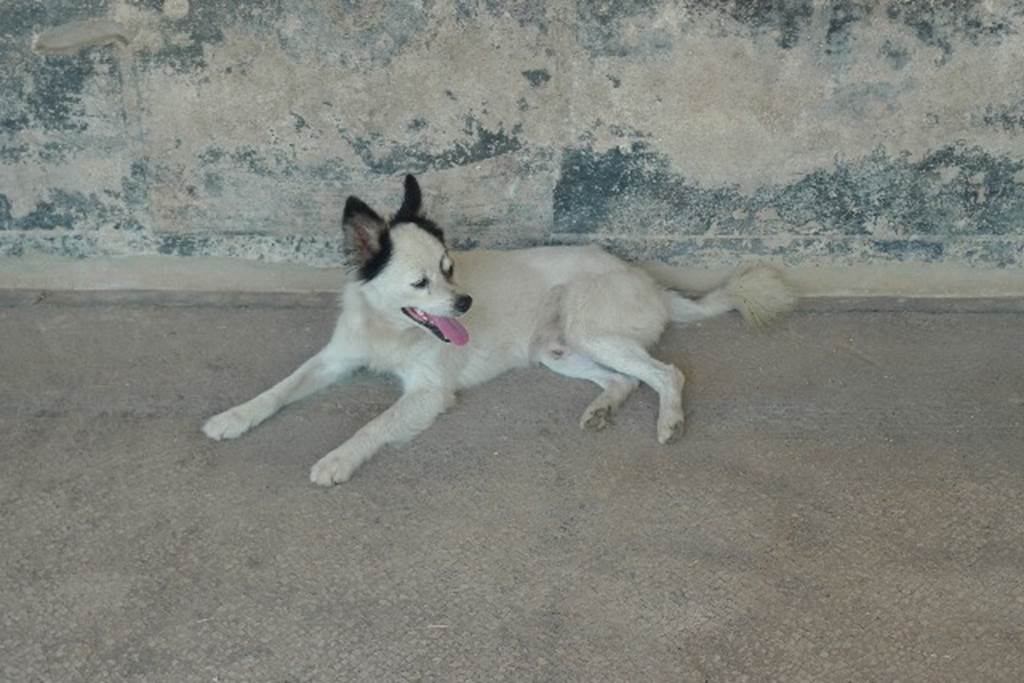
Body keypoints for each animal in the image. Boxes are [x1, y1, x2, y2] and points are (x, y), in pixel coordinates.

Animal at [203, 176, 794, 485]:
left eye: (449, 267)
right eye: (420, 281)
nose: (465, 302)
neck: (390, 329)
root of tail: (644, 278)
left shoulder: (428, 393)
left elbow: (373, 426)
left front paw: (337, 459)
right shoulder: (334, 359)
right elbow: (279, 389)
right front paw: (233, 417)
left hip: (590, 329)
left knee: (667, 373)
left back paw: (669, 421)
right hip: (560, 351)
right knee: (625, 380)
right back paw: (602, 408)